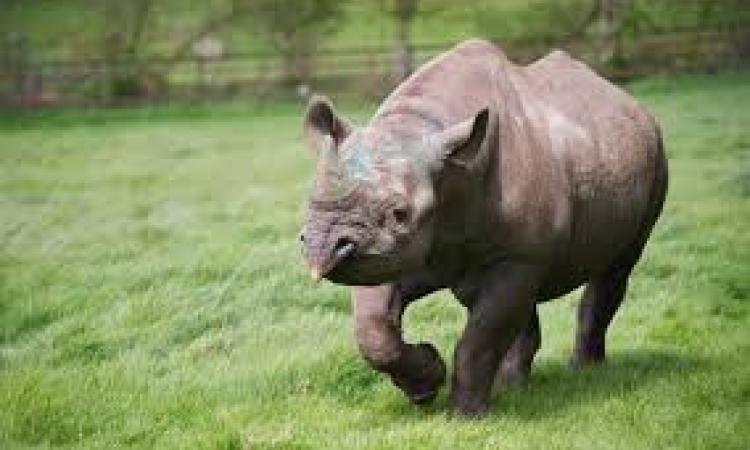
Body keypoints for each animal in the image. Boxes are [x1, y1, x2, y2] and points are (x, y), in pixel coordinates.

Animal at [300, 39, 668, 416]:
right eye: (309, 200)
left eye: (399, 213)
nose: (322, 248)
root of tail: (631, 103)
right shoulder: (387, 250)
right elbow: (373, 327)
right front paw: (426, 386)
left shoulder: (512, 254)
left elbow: (481, 338)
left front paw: (464, 417)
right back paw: (513, 385)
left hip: (655, 157)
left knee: (616, 268)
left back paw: (584, 372)